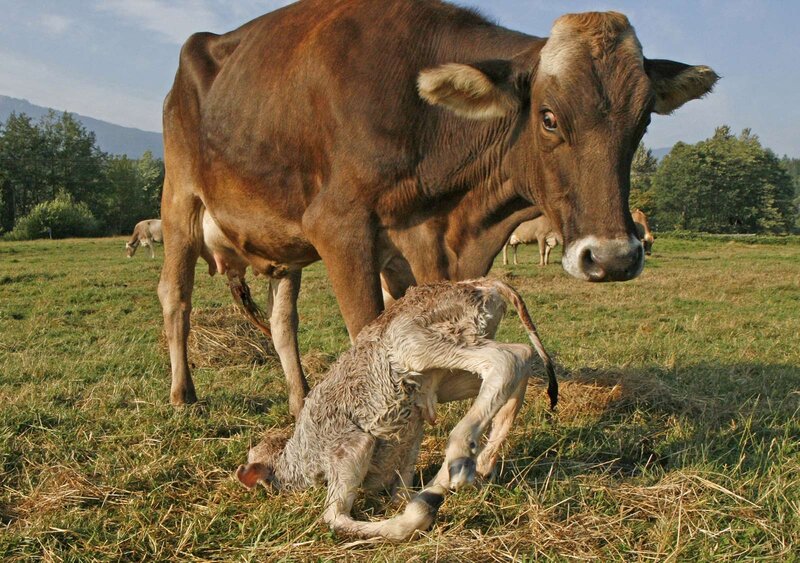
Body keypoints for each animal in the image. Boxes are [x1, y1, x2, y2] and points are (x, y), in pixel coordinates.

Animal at [159, 0, 718, 409]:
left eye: (644, 119)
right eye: (549, 117)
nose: (614, 258)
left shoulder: (413, 246)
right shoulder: (340, 228)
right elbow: (370, 336)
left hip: (282, 239)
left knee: (281, 323)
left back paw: (300, 400)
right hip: (180, 200)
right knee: (175, 296)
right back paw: (184, 394)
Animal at [236, 279, 557, 541]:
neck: (298, 455)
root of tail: (481, 284)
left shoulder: (350, 449)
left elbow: (335, 518)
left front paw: (419, 513)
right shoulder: (409, 441)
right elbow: (401, 488)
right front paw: (425, 495)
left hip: (417, 343)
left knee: (507, 358)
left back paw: (461, 450)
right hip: (445, 372)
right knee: (520, 360)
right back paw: (481, 463)